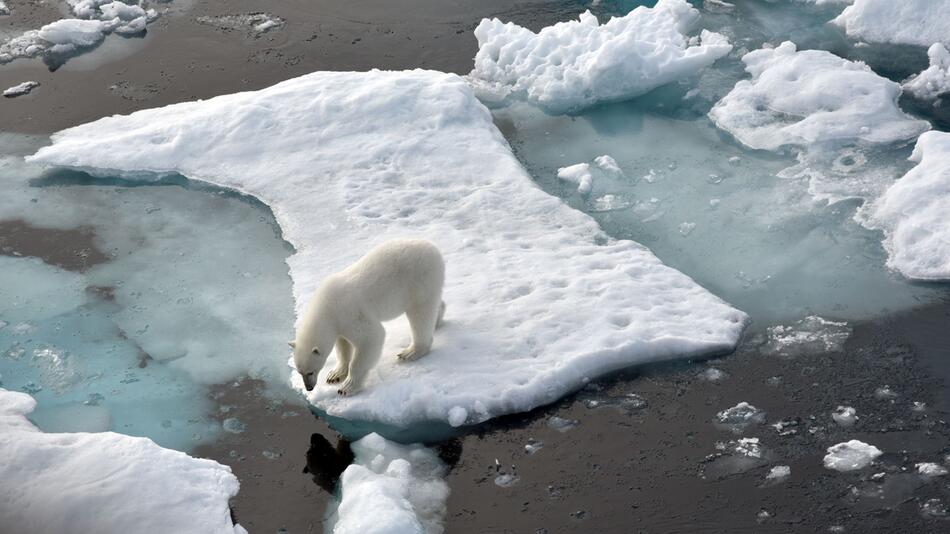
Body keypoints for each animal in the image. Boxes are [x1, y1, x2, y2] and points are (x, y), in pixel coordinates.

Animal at [288, 241, 448, 396]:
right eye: (299, 372)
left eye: (310, 371)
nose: (309, 388)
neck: (326, 307)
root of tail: (434, 249)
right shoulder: (339, 323)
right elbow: (343, 345)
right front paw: (335, 375)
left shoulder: (350, 312)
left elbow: (371, 337)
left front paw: (347, 387)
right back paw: (437, 320)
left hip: (420, 280)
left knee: (420, 314)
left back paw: (411, 351)